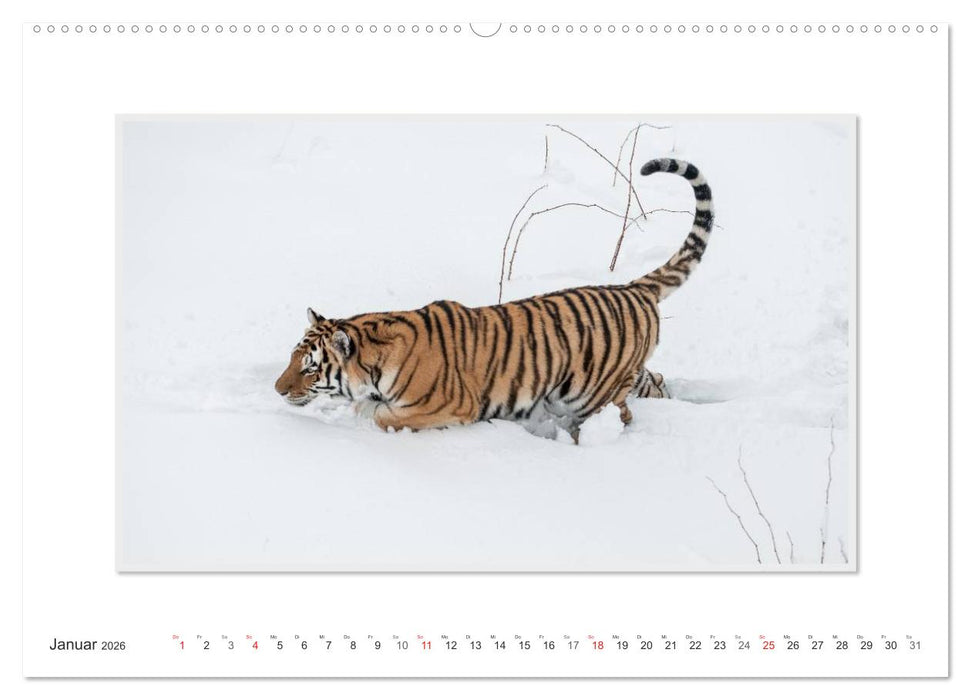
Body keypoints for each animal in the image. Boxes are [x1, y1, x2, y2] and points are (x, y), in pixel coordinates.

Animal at [274, 158, 712, 443]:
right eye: (293, 358)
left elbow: (386, 418)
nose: (277, 390)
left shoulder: (447, 406)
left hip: (592, 393)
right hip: (622, 373)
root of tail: (632, 288)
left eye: (311, 368)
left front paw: (370, 417)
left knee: (618, 417)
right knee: (656, 382)